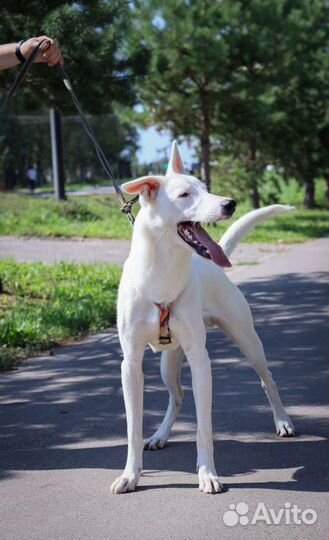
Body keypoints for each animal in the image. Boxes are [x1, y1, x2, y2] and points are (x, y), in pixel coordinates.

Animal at [111, 140, 294, 494]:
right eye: (184, 194)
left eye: (206, 188)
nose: (230, 203)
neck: (162, 274)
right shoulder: (131, 364)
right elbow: (131, 428)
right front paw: (130, 474)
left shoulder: (200, 360)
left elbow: (203, 428)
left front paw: (208, 473)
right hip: (168, 362)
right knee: (178, 395)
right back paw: (160, 435)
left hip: (247, 340)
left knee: (268, 380)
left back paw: (283, 420)